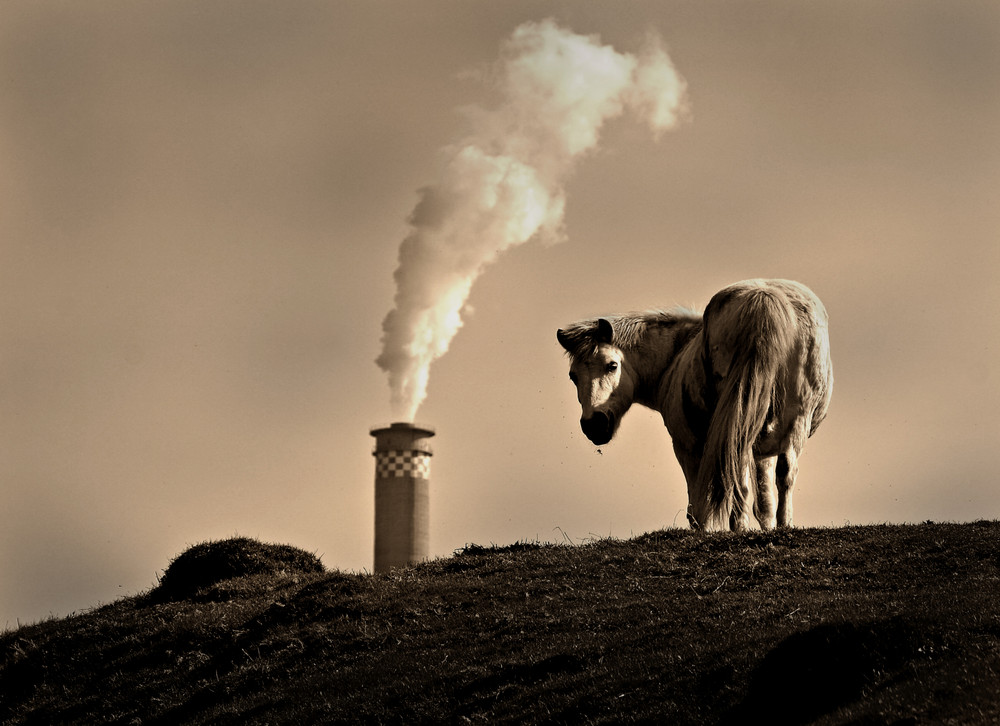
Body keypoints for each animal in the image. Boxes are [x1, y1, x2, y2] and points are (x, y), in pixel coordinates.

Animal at [560, 282, 832, 532]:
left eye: (612, 365)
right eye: (573, 376)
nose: (594, 425)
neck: (676, 355)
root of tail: (763, 298)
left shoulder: (686, 446)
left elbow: (698, 506)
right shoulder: (764, 449)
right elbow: (765, 503)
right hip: (793, 420)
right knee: (783, 473)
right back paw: (779, 525)